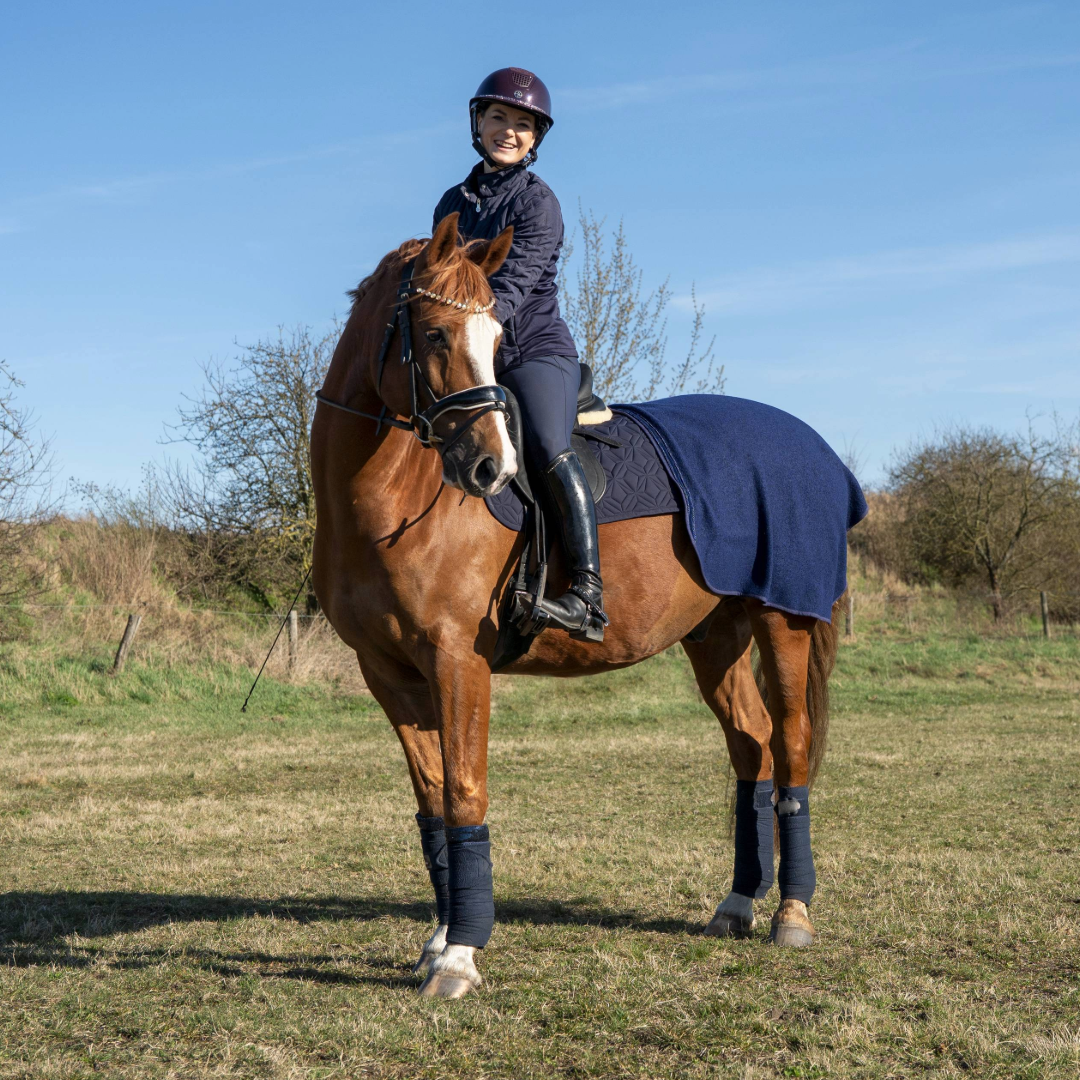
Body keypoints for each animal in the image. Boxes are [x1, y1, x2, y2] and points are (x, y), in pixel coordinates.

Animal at [311, 213, 841, 999]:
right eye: (434, 334)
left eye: (497, 338)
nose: (490, 469)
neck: (389, 499)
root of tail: (814, 445)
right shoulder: (389, 672)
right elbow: (432, 803)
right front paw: (437, 942)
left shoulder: (456, 660)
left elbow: (465, 791)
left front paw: (460, 955)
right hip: (715, 636)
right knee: (751, 745)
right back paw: (737, 903)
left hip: (782, 623)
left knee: (793, 745)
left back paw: (792, 915)